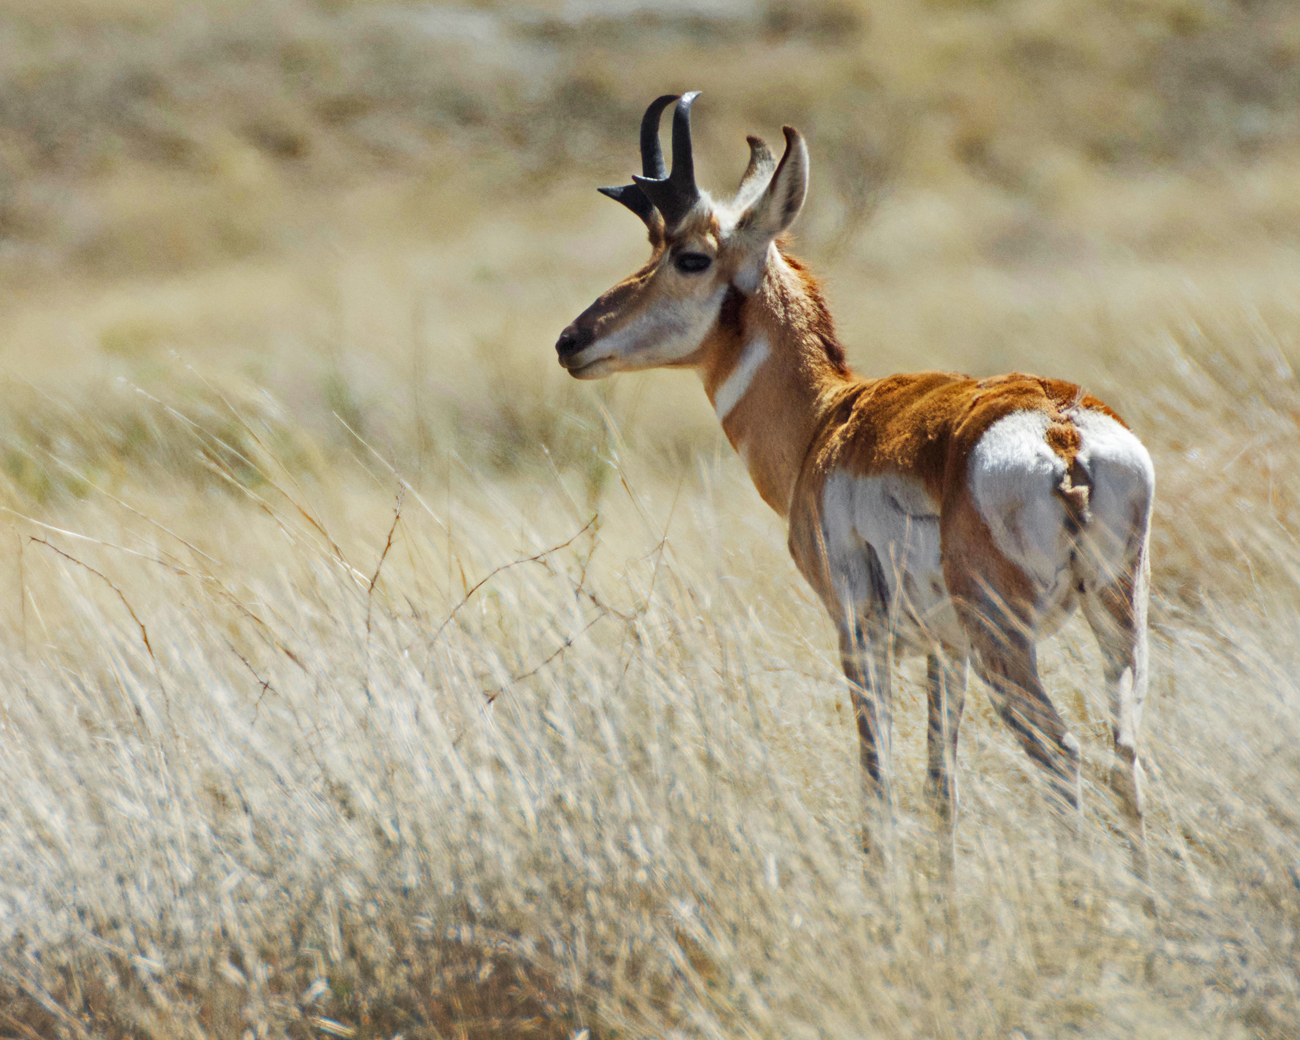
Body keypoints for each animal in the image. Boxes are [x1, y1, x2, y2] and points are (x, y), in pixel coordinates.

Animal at [555, 93, 1154, 866]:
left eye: (690, 256)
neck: (831, 414)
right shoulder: (943, 653)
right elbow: (940, 789)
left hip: (1009, 645)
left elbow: (877, 784)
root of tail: (1061, 429)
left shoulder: (859, 636)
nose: (573, 341)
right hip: (1117, 623)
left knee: (1064, 755)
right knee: (1125, 758)